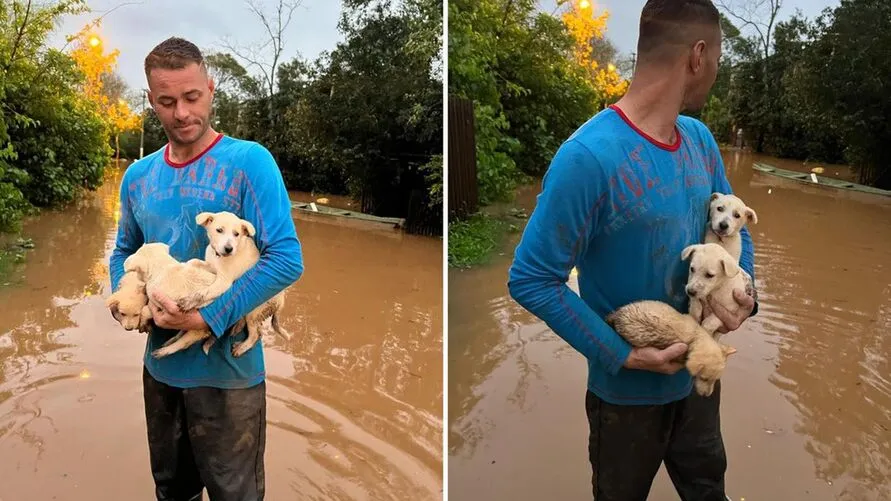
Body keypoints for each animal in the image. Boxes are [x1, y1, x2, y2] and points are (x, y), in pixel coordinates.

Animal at [197, 210, 290, 356]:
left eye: (236, 234)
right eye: (219, 230)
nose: (229, 249)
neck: (218, 256)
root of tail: (281, 303)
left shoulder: (224, 282)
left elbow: (206, 292)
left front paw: (192, 298)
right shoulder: (211, 267)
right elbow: (195, 262)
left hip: (254, 311)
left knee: (256, 334)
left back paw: (241, 347)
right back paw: (237, 326)